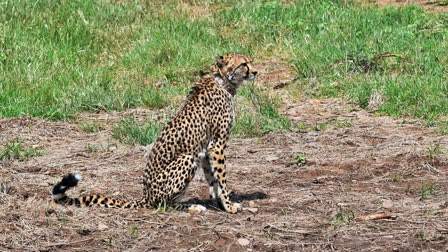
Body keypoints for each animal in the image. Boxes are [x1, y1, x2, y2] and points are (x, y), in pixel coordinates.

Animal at [51, 52, 260, 213]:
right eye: (244, 64)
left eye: (251, 61)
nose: (255, 71)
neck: (221, 81)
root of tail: (146, 196)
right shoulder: (217, 144)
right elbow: (222, 179)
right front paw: (229, 206)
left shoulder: (207, 149)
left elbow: (212, 179)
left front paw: (219, 203)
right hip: (187, 158)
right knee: (164, 204)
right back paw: (192, 207)